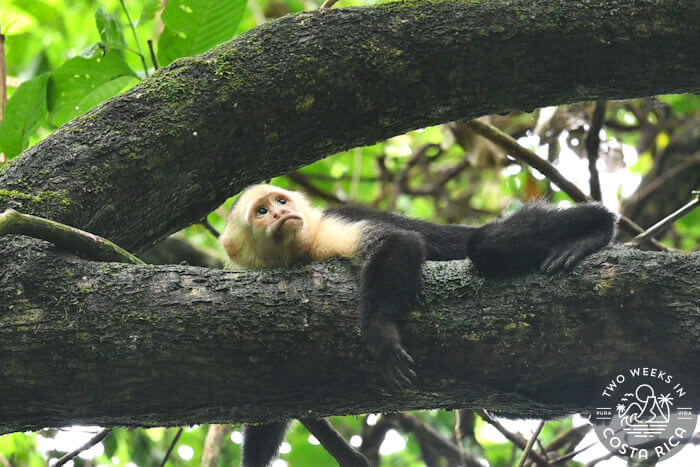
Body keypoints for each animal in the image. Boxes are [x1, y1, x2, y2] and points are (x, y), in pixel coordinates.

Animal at [220, 183, 616, 466]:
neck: (298, 253)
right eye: (262, 211)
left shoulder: (325, 230)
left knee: (483, 245)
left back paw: (595, 230)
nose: (280, 213)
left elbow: (401, 241)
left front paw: (381, 332)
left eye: (281, 201)